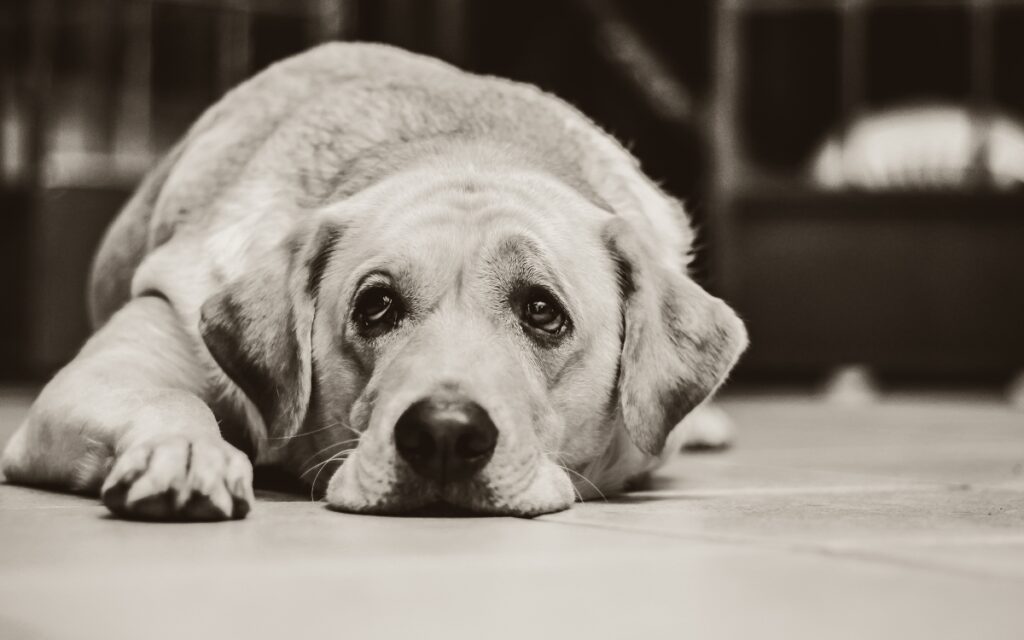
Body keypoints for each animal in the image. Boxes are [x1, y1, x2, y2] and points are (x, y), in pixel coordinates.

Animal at [0, 42, 745, 516]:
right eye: (376, 306)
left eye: (543, 311)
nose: (444, 435)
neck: (461, 141)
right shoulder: (107, 368)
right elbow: (168, 399)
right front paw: (183, 451)